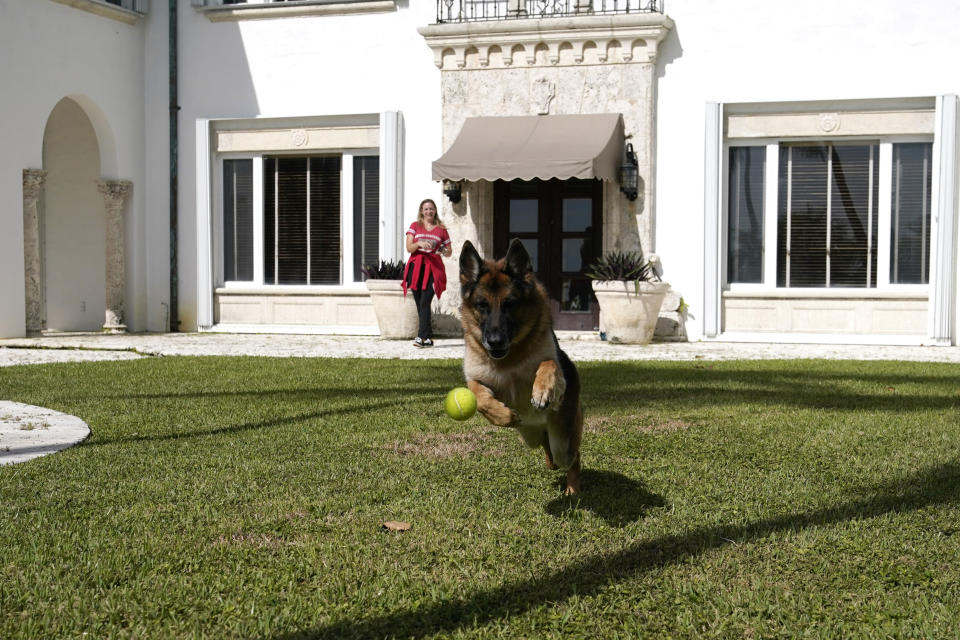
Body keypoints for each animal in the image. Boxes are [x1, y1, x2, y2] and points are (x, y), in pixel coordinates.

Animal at [460, 240, 584, 496]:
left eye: (510, 304)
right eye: (481, 305)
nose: (495, 341)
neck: (510, 359)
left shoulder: (556, 368)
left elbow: (548, 364)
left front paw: (542, 392)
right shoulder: (475, 378)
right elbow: (478, 395)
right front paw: (503, 415)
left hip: (563, 442)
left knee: (572, 457)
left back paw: (573, 489)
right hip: (532, 438)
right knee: (549, 452)